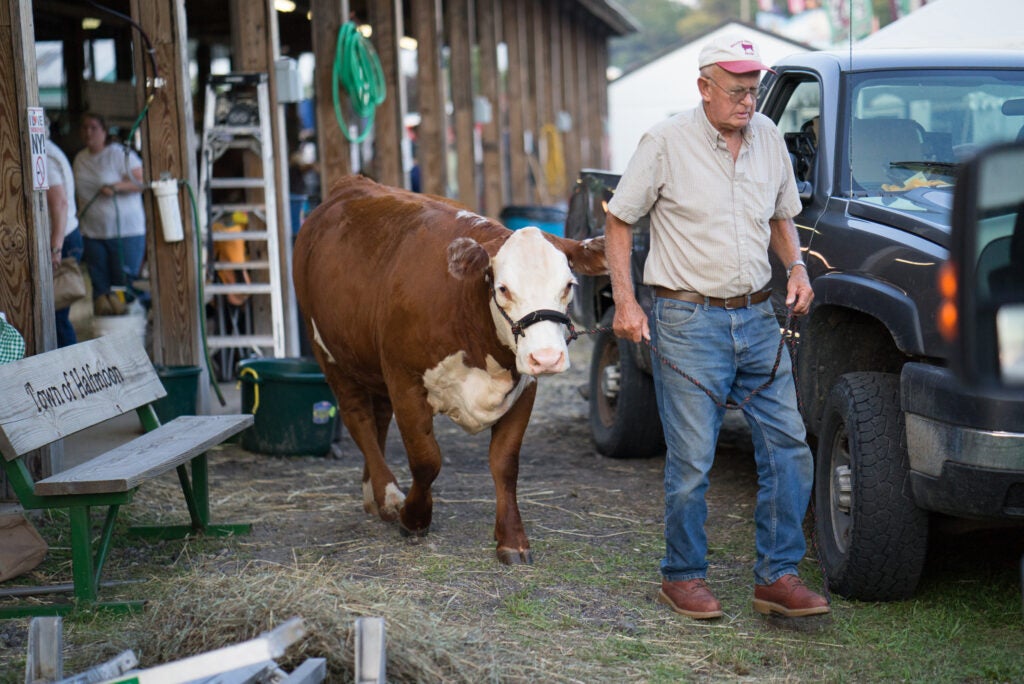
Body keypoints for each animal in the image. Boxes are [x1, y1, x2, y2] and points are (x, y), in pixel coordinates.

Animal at [292, 175, 602, 561]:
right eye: (503, 288)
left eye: (568, 285)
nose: (546, 357)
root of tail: (352, 183)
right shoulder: (406, 381)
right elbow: (426, 459)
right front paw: (414, 518)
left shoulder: (524, 388)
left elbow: (505, 463)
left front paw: (511, 539)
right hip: (329, 353)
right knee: (358, 418)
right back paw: (389, 495)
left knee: (378, 420)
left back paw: (374, 495)